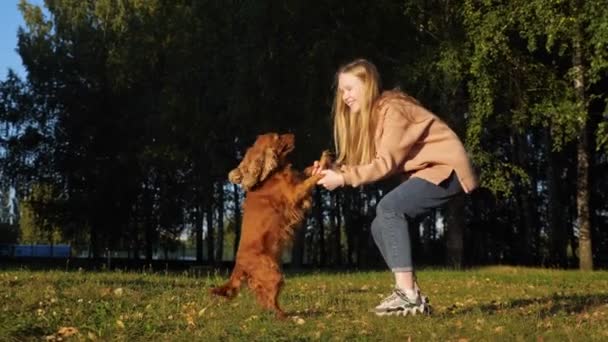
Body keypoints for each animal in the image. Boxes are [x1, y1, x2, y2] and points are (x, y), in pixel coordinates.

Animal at [209, 133, 332, 318]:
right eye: (277, 137)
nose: (293, 134)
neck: (271, 174)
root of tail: (238, 265)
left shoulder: (296, 181)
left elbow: (307, 171)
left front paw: (323, 159)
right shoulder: (294, 194)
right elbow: (310, 180)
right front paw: (323, 170)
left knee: (263, 298)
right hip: (274, 274)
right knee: (269, 300)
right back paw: (286, 316)